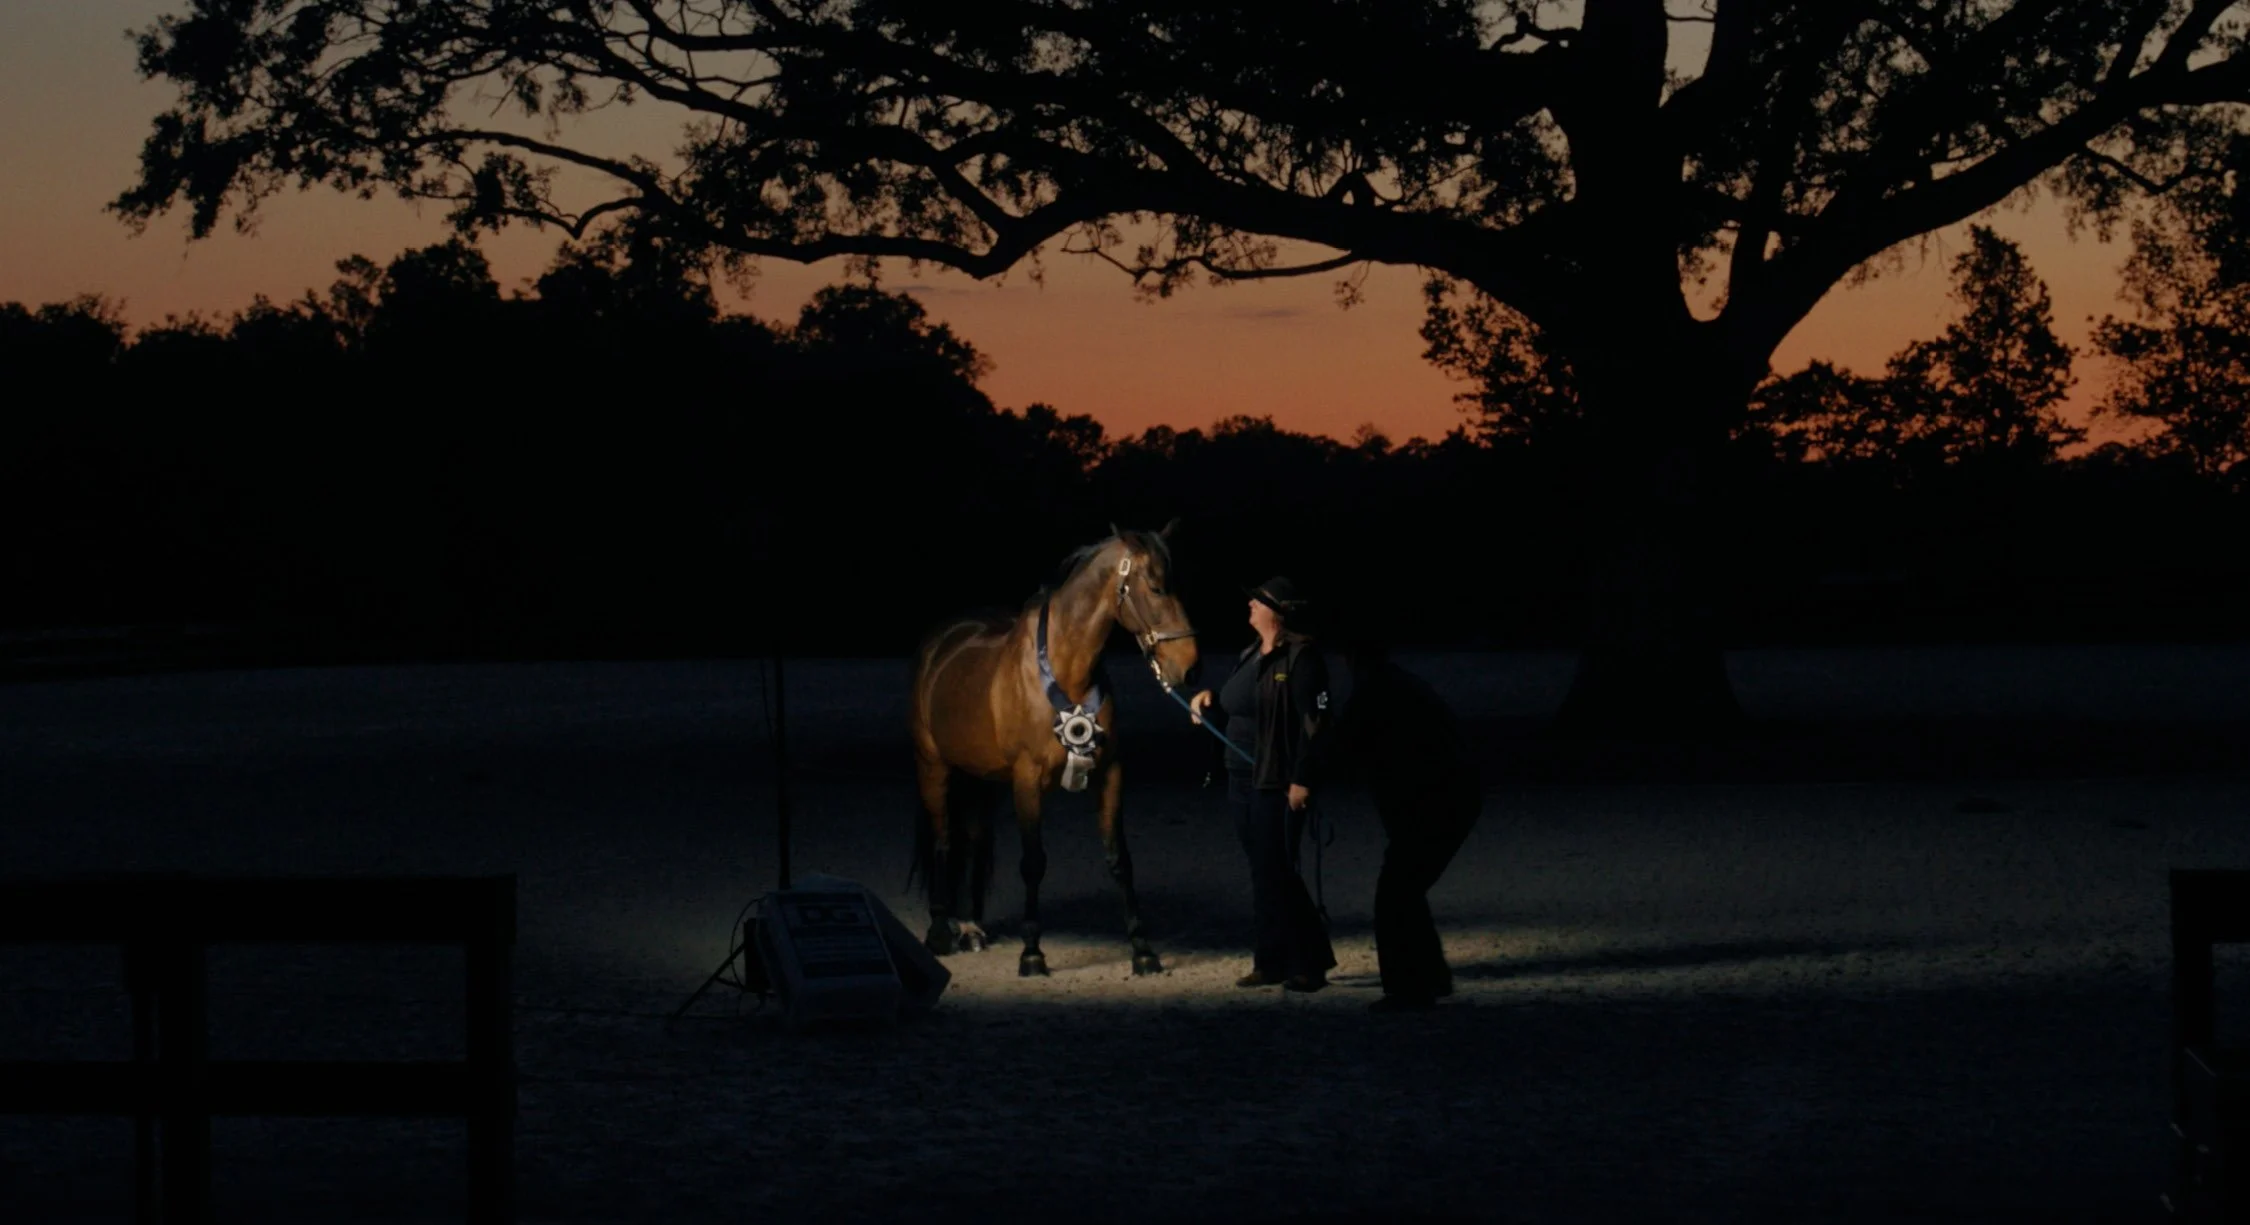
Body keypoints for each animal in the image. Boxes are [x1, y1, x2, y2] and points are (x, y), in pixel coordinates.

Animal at [907, 522, 1200, 977]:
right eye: (1154, 587)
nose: (1188, 665)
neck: (1066, 670)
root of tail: (940, 644)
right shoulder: (1027, 781)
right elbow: (1033, 863)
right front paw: (1032, 954)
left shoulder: (1110, 773)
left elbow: (1120, 860)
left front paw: (1143, 951)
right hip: (933, 767)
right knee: (943, 840)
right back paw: (940, 932)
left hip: (981, 779)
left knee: (973, 839)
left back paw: (971, 928)